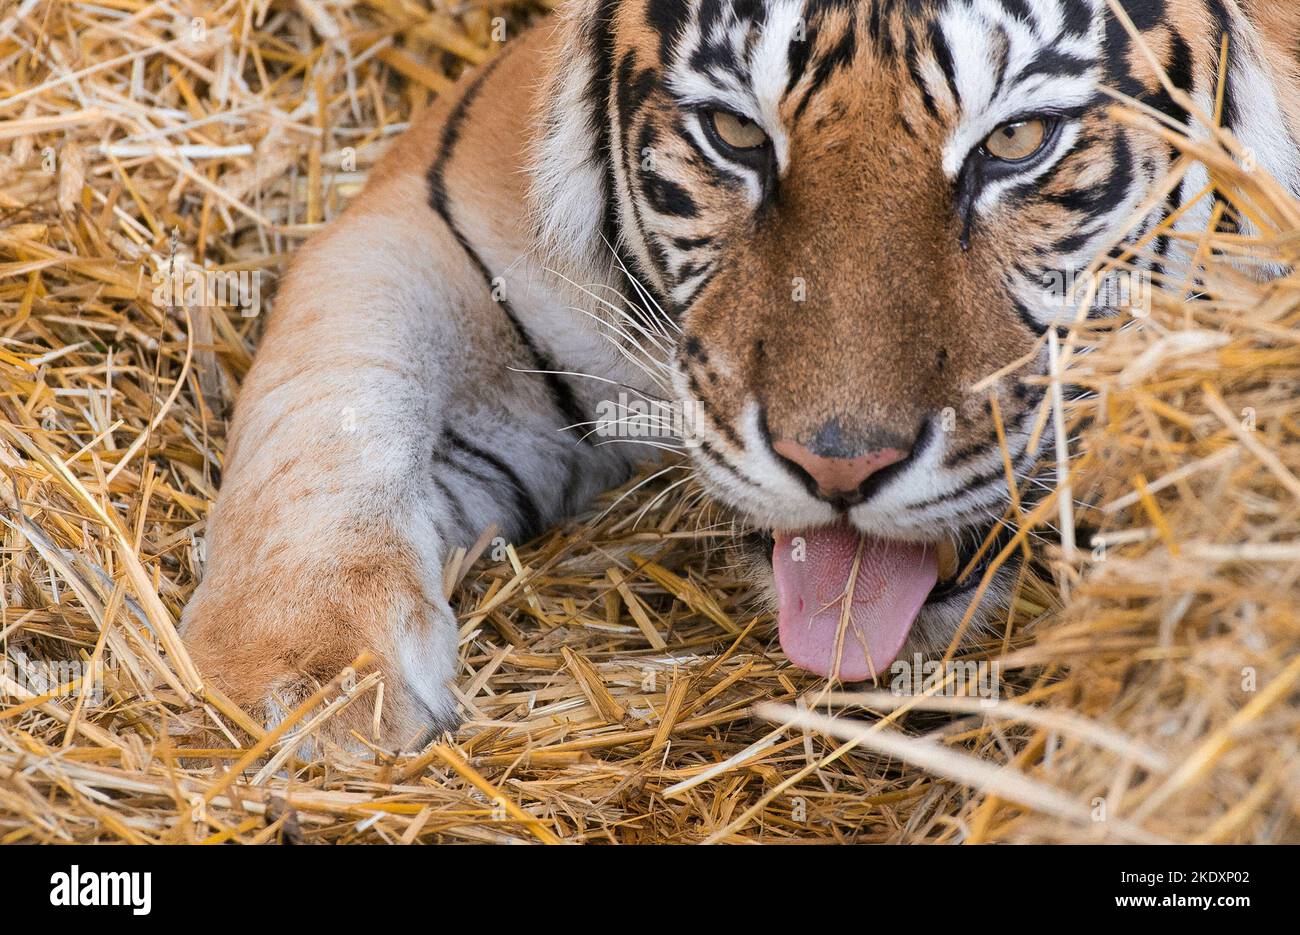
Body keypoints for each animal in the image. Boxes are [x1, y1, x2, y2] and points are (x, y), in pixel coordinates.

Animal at [180, 0, 1300, 743]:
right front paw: (308, 675)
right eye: (733, 134)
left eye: (1018, 141)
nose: (840, 464)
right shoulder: (432, 208)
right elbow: (329, 396)